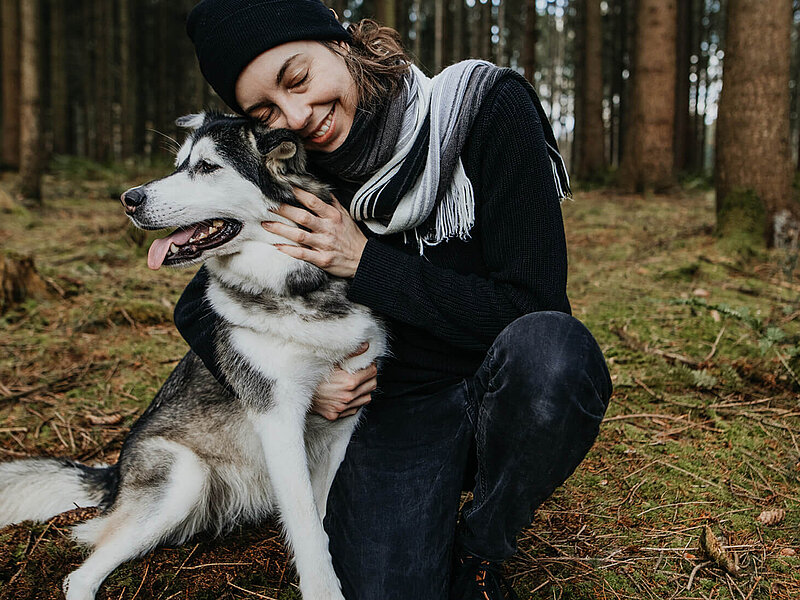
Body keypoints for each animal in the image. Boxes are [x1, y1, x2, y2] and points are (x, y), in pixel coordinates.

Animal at [0, 112, 388, 600]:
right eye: (179, 164)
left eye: (206, 167)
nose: (129, 199)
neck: (300, 290)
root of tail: (116, 471)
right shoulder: (278, 418)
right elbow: (307, 532)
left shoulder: (343, 421)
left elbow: (319, 522)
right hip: (183, 478)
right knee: (79, 574)